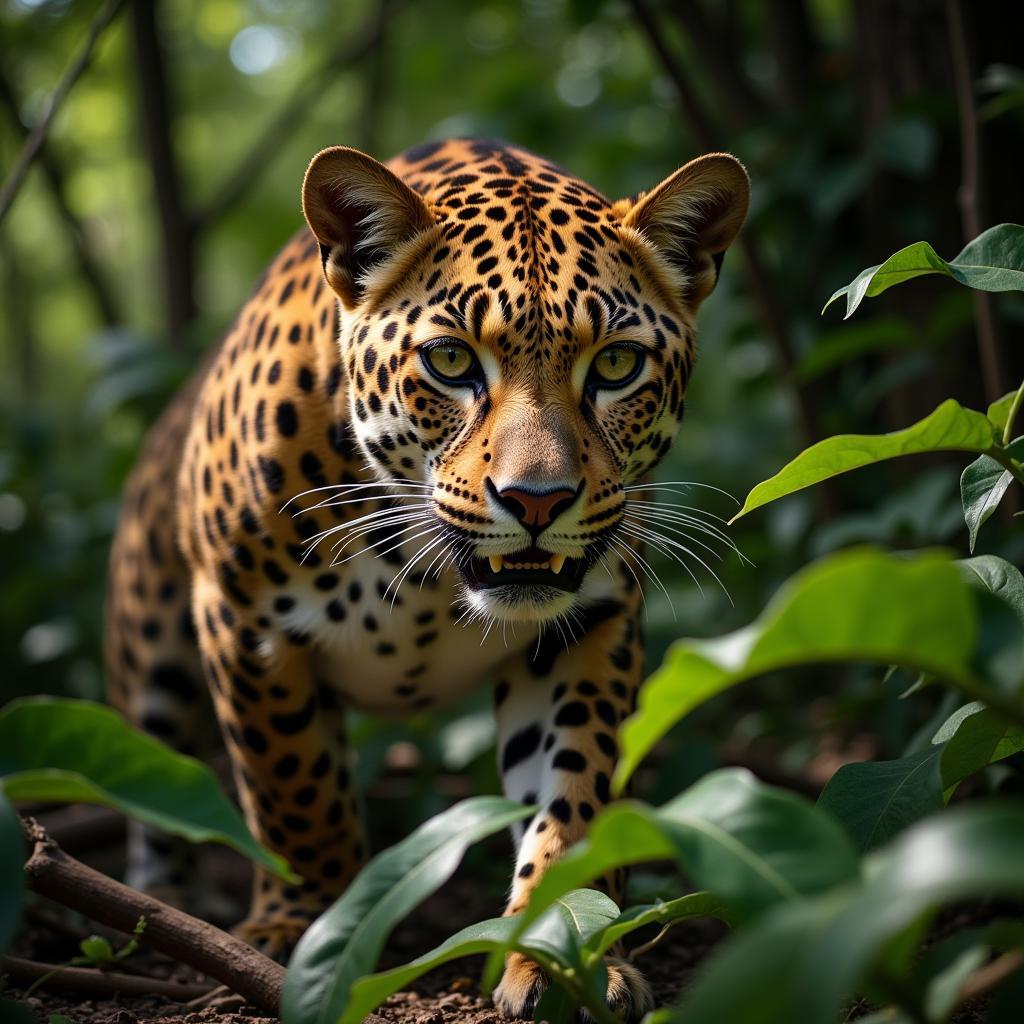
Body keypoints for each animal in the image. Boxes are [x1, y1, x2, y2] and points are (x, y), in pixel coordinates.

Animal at [103, 134, 749, 1015]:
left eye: (617, 364)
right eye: (449, 360)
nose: (537, 501)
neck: (423, 576)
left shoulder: (590, 623)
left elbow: (574, 794)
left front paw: (564, 952)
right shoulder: (245, 624)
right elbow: (294, 791)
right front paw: (303, 929)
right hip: (154, 659)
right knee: (154, 782)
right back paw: (168, 901)